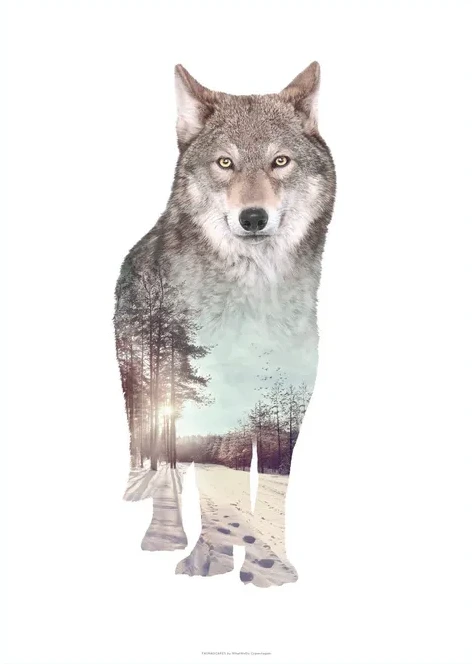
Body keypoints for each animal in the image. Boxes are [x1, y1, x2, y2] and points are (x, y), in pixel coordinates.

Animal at [114, 62, 336, 587]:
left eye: (280, 162)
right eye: (225, 163)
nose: (253, 217)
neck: (255, 304)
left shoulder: (287, 406)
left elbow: (270, 489)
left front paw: (268, 569)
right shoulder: (208, 403)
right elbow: (214, 485)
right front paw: (213, 560)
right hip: (152, 392)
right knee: (164, 464)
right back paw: (166, 538)